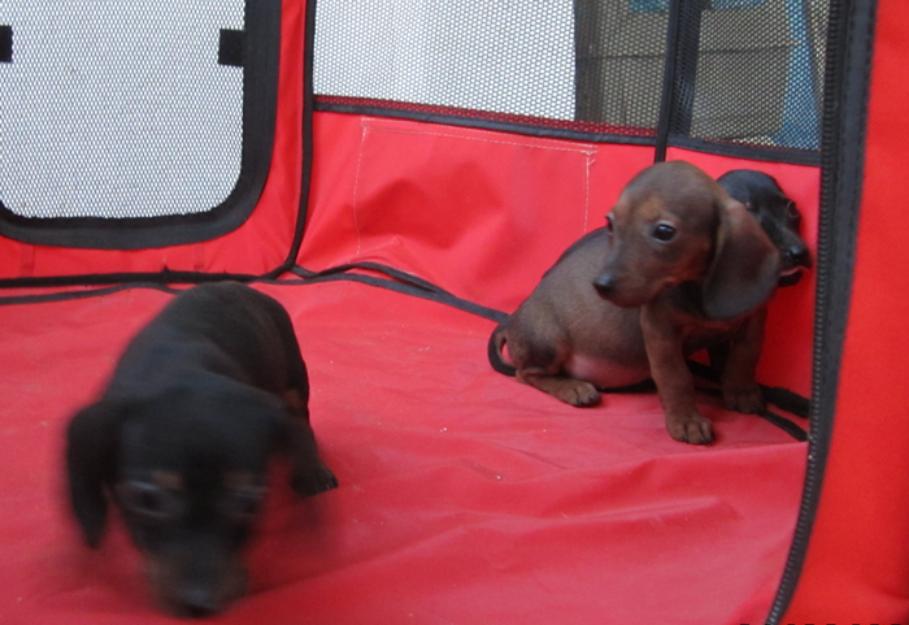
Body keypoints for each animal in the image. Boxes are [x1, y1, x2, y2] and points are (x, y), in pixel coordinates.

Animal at [490, 161, 800, 444]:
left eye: (664, 232)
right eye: (610, 223)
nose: (600, 285)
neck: (694, 287)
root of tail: (512, 320)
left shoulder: (753, 321)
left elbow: (744, 357)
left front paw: (741, 391)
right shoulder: (660, 332)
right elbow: (677, 378)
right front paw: (685, 420)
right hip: (547, 341)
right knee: (526, 374)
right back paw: (573, 388)